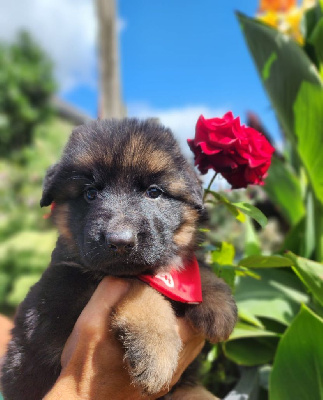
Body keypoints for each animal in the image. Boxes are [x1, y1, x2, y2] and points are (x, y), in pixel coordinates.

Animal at [0, 119, 238, 400]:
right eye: (90, 193)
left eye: (153, 192)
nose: (120, 242)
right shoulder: (62, 296)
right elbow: (140, 288)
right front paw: (156, 350)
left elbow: (192, 267)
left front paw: (219, 303)